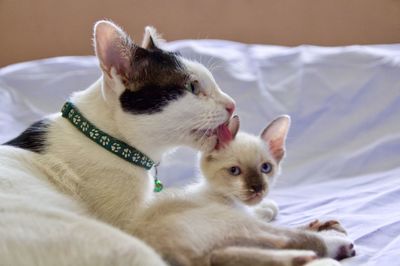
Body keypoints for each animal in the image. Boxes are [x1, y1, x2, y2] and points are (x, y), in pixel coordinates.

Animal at [129, 116, 356, 266]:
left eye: (266, 168)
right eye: (234, 171)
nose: (257, 188)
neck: (231, 201)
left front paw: (316, 224)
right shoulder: (243, 220)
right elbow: (286, 231)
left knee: (226, 255)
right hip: (230, 223)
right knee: (283, 240)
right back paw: (336, 244)